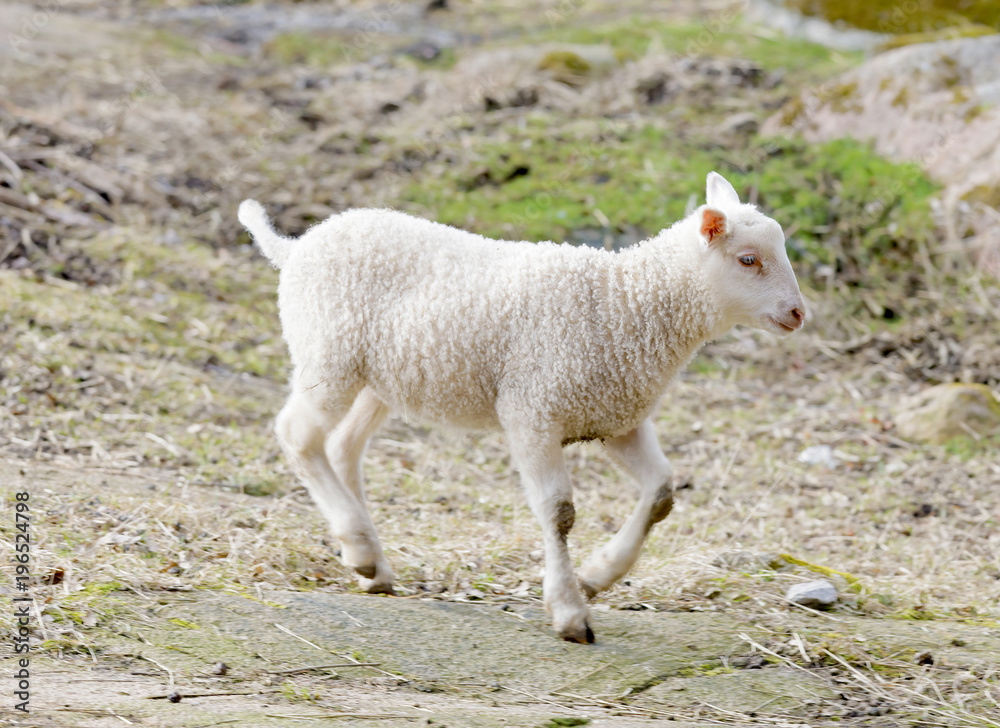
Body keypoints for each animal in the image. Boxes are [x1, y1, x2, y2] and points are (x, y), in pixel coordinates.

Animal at [238, 172, 805, 644]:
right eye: (748, 259)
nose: (799, 313)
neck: (625, 303)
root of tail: (296, 245)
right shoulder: (533, 411)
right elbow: (559, 512)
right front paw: (570, 610)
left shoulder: (617, 417)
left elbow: (662, 493)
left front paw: (597, 574)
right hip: (327, 356)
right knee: (298, 435)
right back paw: (356, 542)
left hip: (381, 379)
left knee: (343, 447)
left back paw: (371, 563)